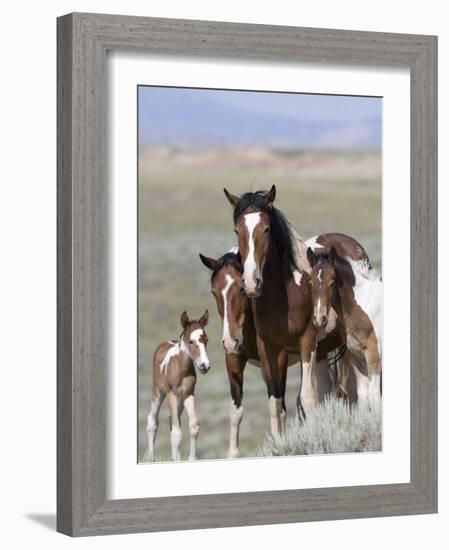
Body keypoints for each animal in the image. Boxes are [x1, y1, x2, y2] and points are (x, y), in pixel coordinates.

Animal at [147, 310, 210, 462]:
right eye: (191, 341)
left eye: (206, 340)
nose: (204, 366)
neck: (181, 369)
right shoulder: (171, 395)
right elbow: (176, 434)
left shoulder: (189, 394)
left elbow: (193, 427)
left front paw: (191, 459)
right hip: (158, 392)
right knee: (152, 421)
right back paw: (151, 459)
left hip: (180, 400)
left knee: (173, 421)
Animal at [306, 249, 384, 410]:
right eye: (311, 282)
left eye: (332, 281)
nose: (320, 318)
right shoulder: (356, 356)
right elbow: (363, 395)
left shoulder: (374, 354)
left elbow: (374, 396)